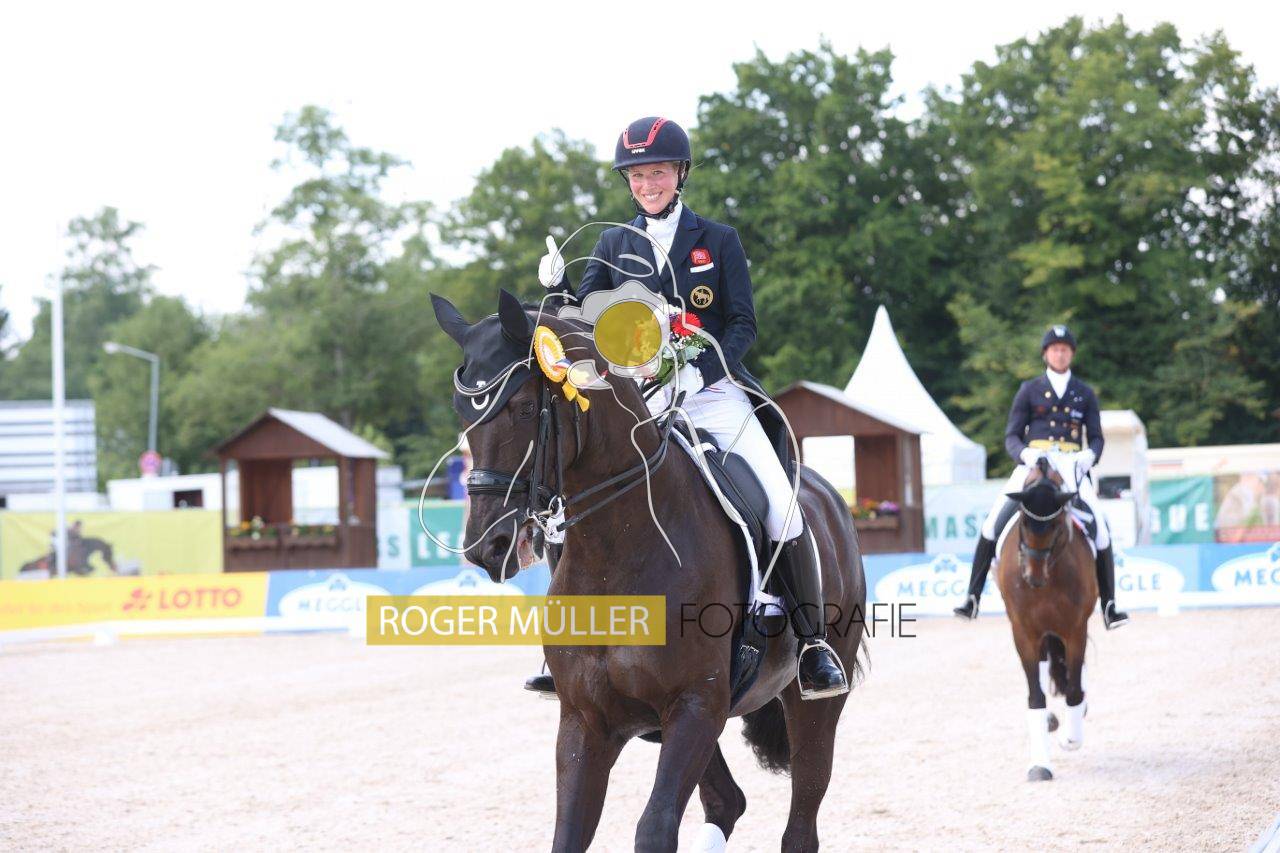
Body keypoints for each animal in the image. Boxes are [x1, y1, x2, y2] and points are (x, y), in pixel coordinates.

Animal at [432, 289, 867, 852]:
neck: (617, 554)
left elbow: (655, 828)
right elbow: (570, 833)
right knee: (727, 802)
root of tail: (830, 497)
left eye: (525, 407)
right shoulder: (588, 721)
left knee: (801, 821)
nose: (490, 546)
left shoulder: (696, 705)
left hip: (812, 702)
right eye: (463, 416)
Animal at [995, 456, 1096, 781]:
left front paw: (1071, 738)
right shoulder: (1023, 632)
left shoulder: (1075, 629)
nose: (1032, 576)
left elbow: (1074, 688)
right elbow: (1035, 696)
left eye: (1055, 523)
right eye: (1023, 522)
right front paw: (1040, 764)